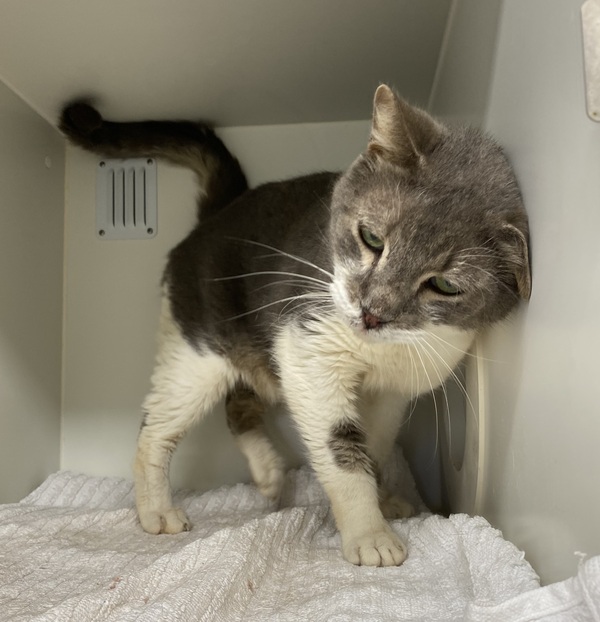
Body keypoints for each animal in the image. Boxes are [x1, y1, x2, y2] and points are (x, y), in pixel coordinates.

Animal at [59, 85, 530, 567]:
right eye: (371, 238)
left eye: (444, 286)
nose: (371, 311)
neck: (377, 350)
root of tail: (220, 213)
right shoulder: (309, 352)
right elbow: (343, 450)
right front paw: (370, 534)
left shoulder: (391, 392)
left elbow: (374, 447)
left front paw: (383, 500)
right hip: (199, 354)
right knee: (155, 428)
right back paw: (157, 510)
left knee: (237, 403)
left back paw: (267, 471)